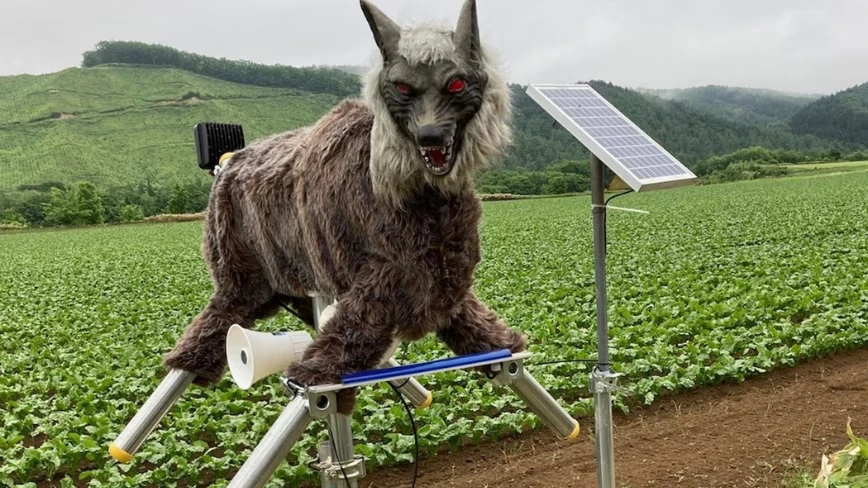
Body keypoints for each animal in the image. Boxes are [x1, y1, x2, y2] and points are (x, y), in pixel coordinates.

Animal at [163, 0, 527, 415]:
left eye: (456, 84)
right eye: (403, 87)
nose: (430, 135)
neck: (418, 198)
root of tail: (228, 162)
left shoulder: (442, 283)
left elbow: (477, 328)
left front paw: (504, 343)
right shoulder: (381, 282)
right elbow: (346, 341)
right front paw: (313, 377)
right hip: (238, 273)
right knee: (219, 316)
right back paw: (185, 362)